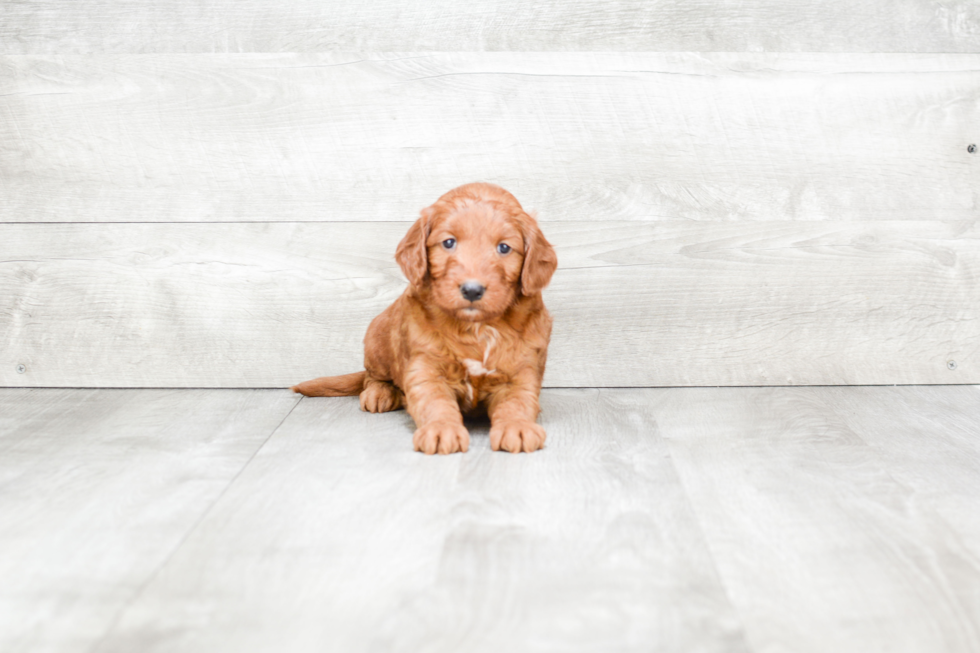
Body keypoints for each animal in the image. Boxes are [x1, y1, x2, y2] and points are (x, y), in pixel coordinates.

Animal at [290, 182, 556, 454]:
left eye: (504, 248)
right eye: (448, 242)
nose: (472, 290)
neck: (476, 328)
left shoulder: (520, 370)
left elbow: (518, 401)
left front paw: (518, 427)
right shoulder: (425, 367)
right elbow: (434, 401)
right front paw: (441, 429)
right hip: (376, 340)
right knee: (370, 377)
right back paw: (379, 393)